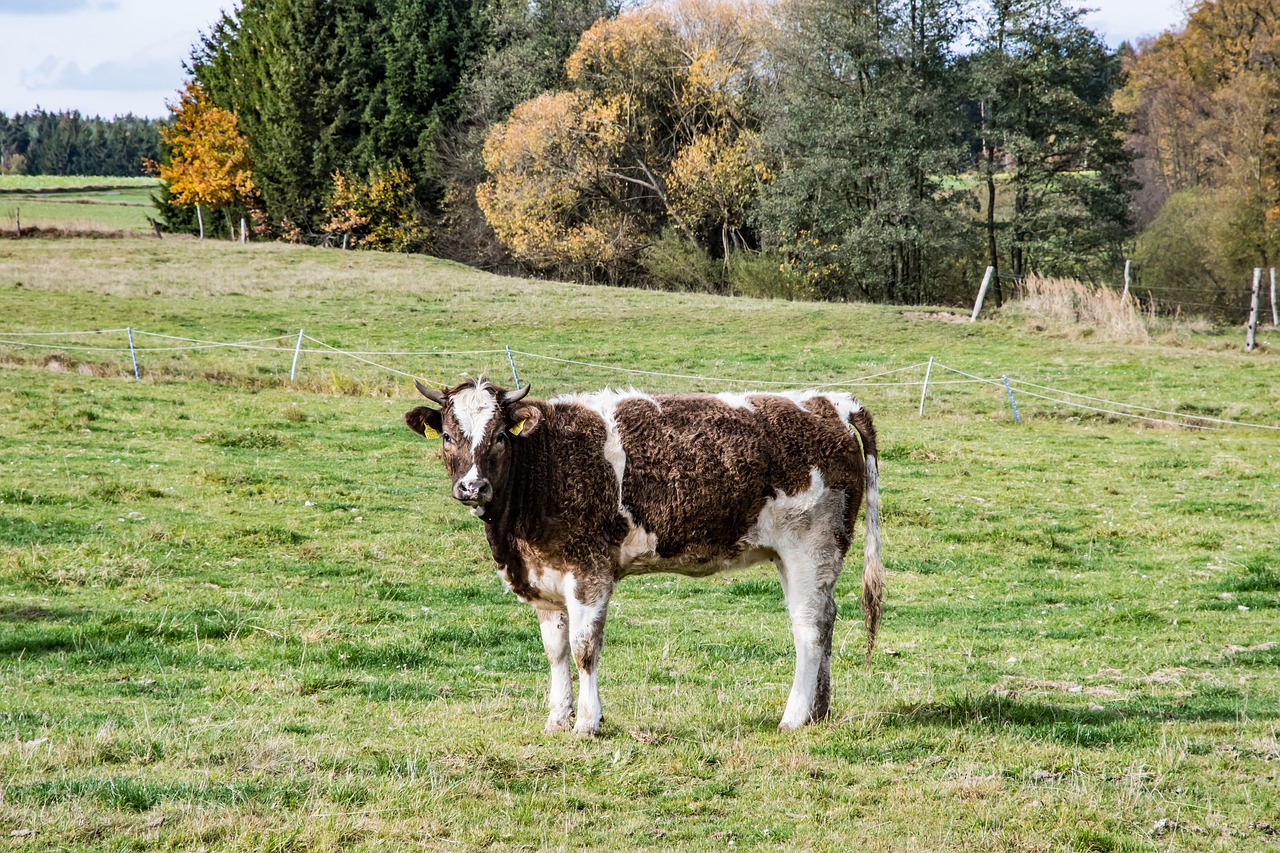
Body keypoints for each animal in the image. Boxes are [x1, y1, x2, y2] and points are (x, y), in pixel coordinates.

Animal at [404, 379, 885, 732]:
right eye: (447, 436)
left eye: (501, 435)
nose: (472, 487)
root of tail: (831, 402)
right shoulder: (544, 580)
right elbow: (555, 651)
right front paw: (557, 720)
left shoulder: (589, 572)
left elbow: (583, 648)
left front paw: (587, 723)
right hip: (800, 556)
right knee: (826, 617)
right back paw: (819, 711)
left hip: (811, 546)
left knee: (809, 629)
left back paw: (794, 717)